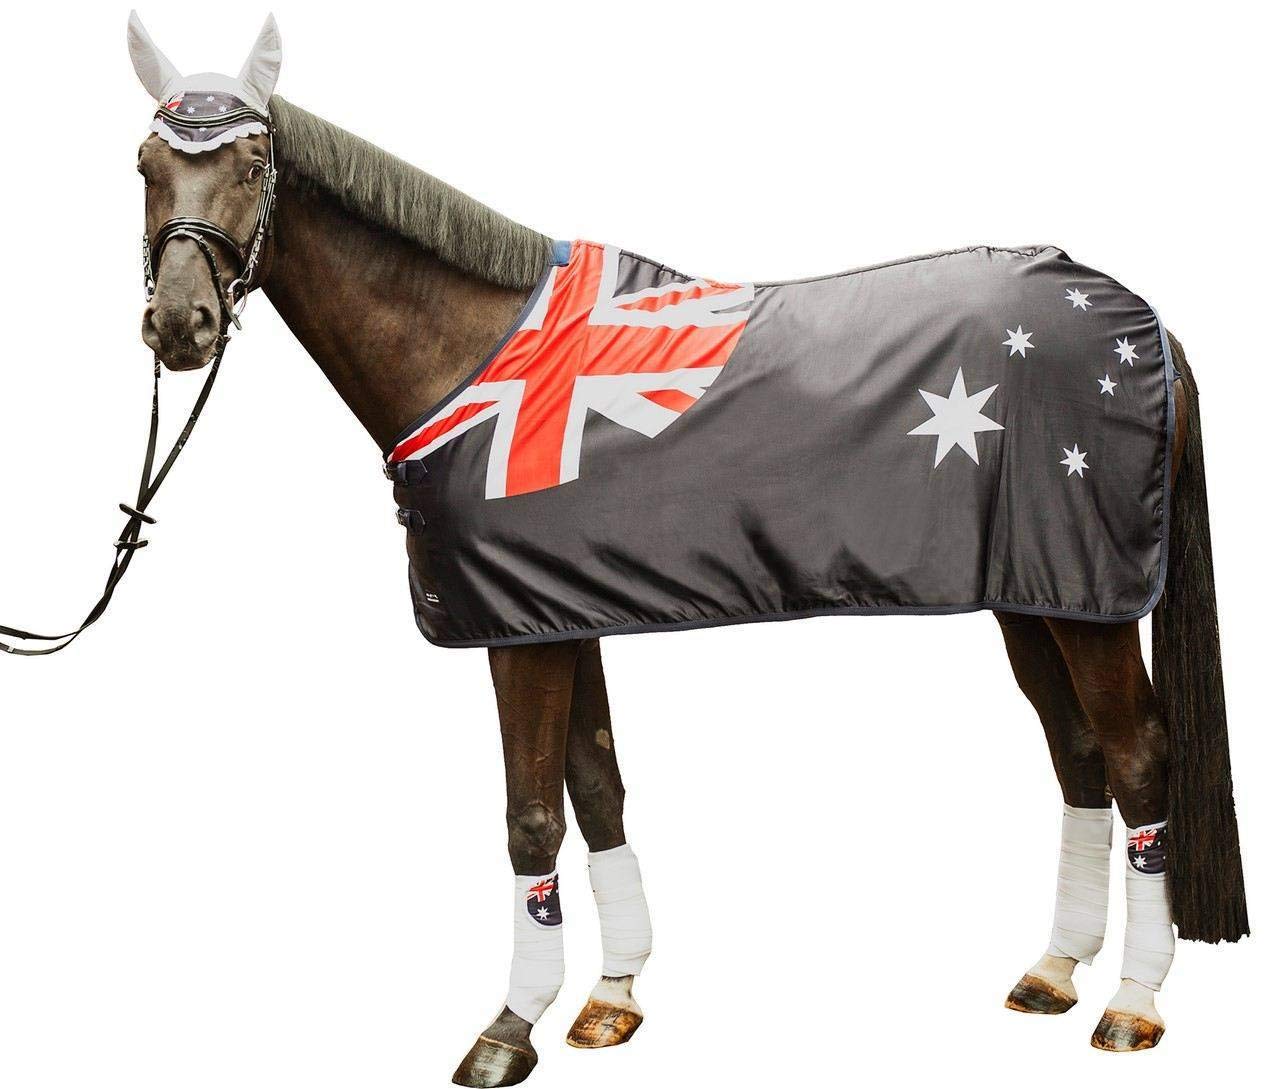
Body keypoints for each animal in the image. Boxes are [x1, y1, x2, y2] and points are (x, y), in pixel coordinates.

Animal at [102, 13, 1251, 1085]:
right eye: (147, 166)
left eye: (254, 165)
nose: (180, 326)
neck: (470, 350)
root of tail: (1141, 324)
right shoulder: (555, 608)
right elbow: (597, 784)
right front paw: (611, 996)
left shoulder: (513, 634)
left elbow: (531, 816)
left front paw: (509, 1028)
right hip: (1035, 592)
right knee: (1080, 753)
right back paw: (1054, 972)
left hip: (1085, 598)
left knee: (1139, 755)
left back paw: (1132, 1004)